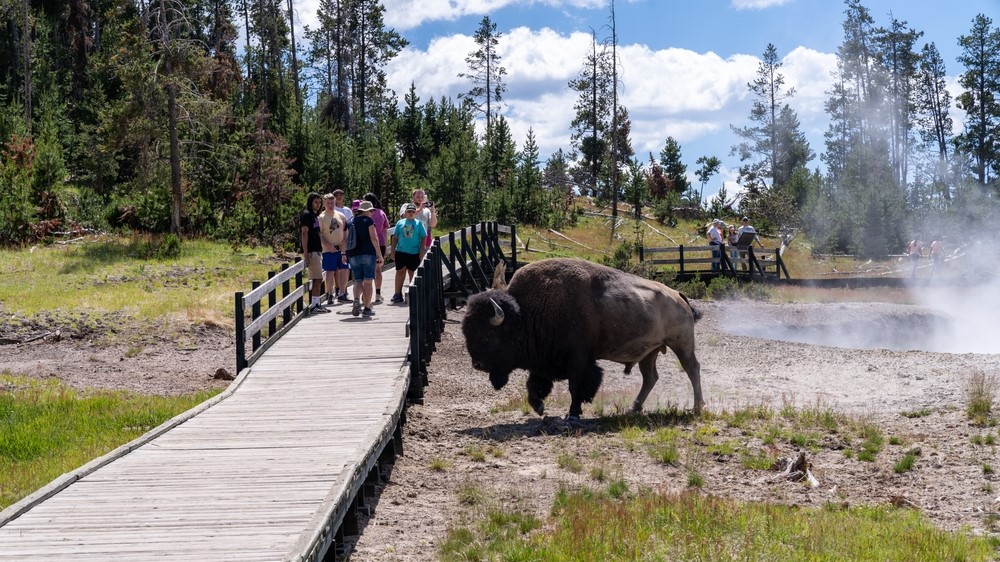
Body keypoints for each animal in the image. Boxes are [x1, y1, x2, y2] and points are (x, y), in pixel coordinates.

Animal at [460, 256, 704, 418]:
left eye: (488, 334)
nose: (477, 364)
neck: (526, 313)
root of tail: (679, 295)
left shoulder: (578, 359)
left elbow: (576, 386)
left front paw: (573, 414)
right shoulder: (543, 361)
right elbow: (534, 385)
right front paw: (540, 408)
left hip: (681, 343)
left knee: (692, 369)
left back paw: (697, 407)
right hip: (650, 352)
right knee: (650, 377)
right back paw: (633, 409)